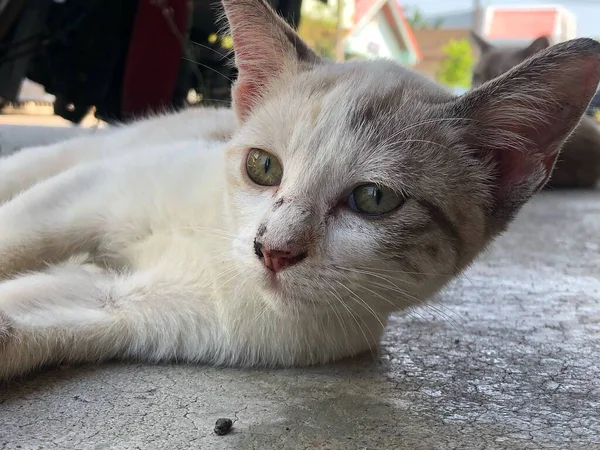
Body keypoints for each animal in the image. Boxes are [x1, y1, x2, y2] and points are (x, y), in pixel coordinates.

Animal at [1, 0, 600, 382]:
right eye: (263, 167)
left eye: (375, 200)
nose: (272, 251)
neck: (219, 262)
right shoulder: (89, 196)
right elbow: (19, 237)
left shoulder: (118, 303)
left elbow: (20, 324)